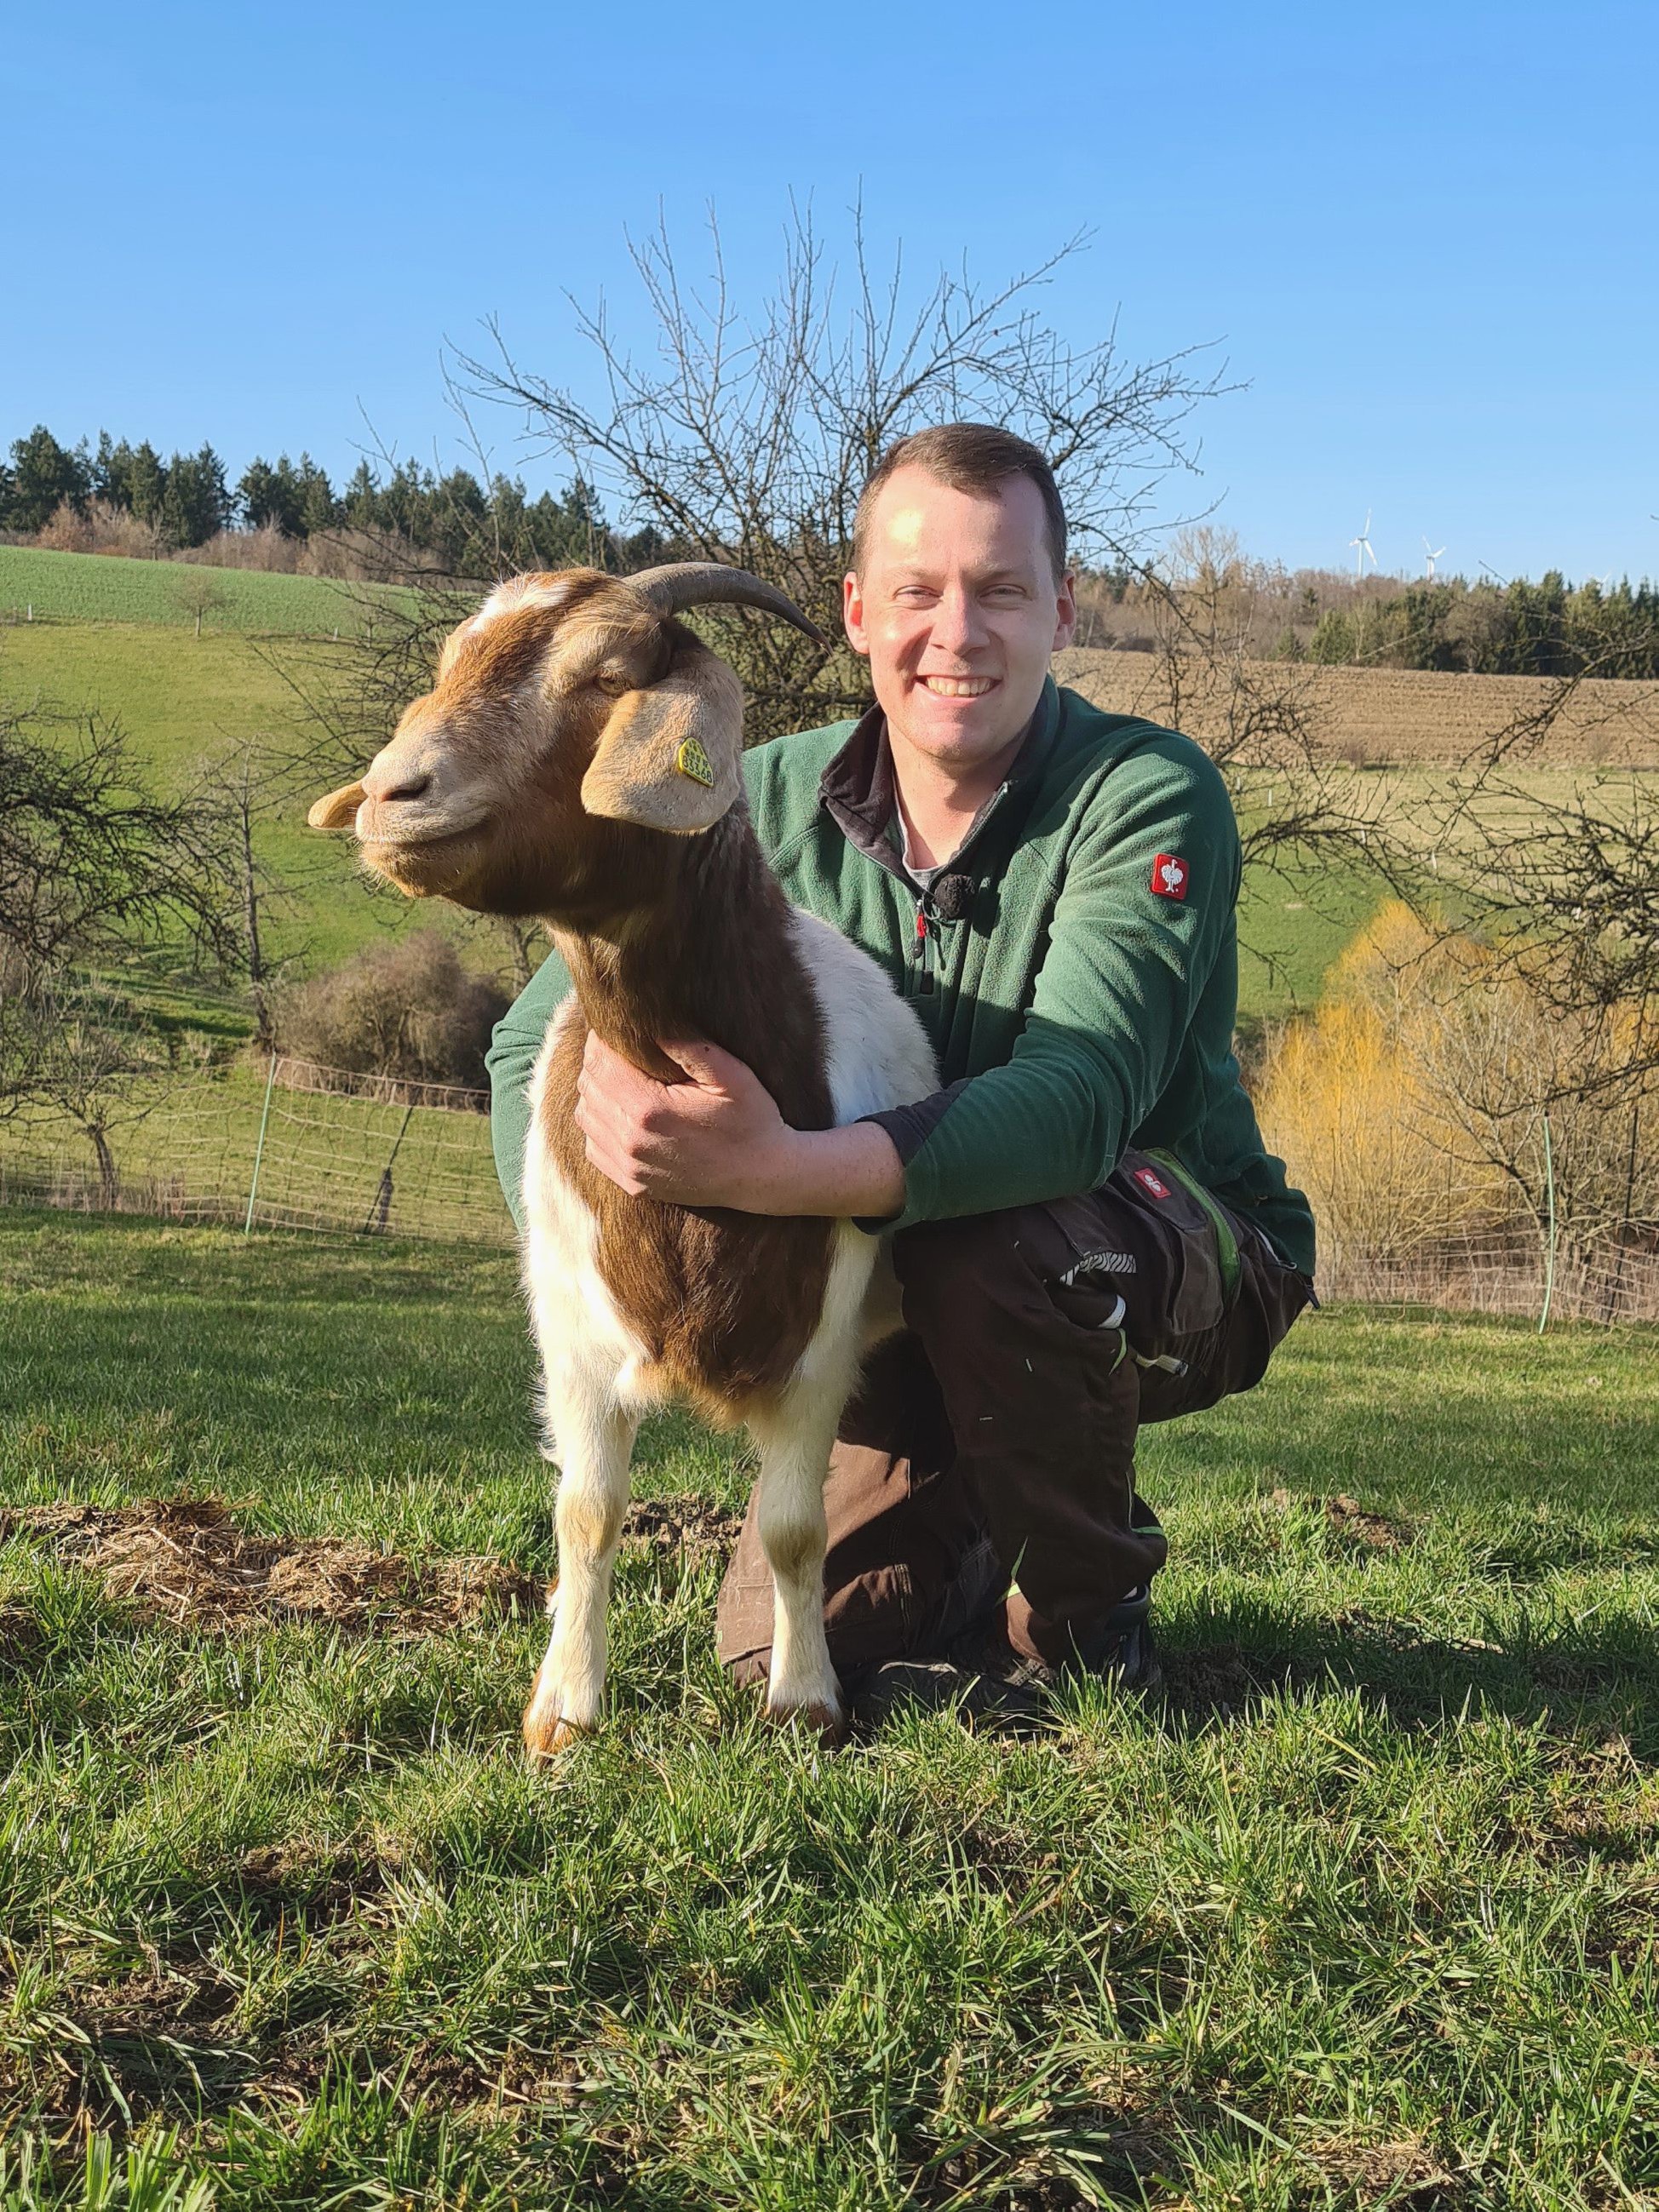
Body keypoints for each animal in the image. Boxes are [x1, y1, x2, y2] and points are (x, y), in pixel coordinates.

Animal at [309, 570, 938, 1761]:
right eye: (449, 661)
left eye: (605, 677)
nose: (392, 793)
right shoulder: (569, 1325)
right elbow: (587, 1514)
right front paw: (564, 1709)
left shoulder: (822, 1335)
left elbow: (795, 1528)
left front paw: (804, 1700)